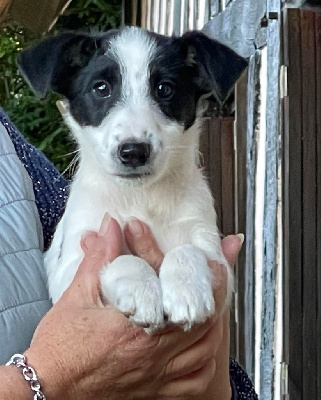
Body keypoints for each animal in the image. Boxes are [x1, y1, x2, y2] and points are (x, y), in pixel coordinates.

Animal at [18, 25, 246, 332]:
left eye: (165, 89)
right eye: (101, 88)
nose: (134, 152)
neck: (140, 197)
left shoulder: (215, 254)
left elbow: (187, 249)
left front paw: (187, 289)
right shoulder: (73, 266)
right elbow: (120, 259)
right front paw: (142, 289)